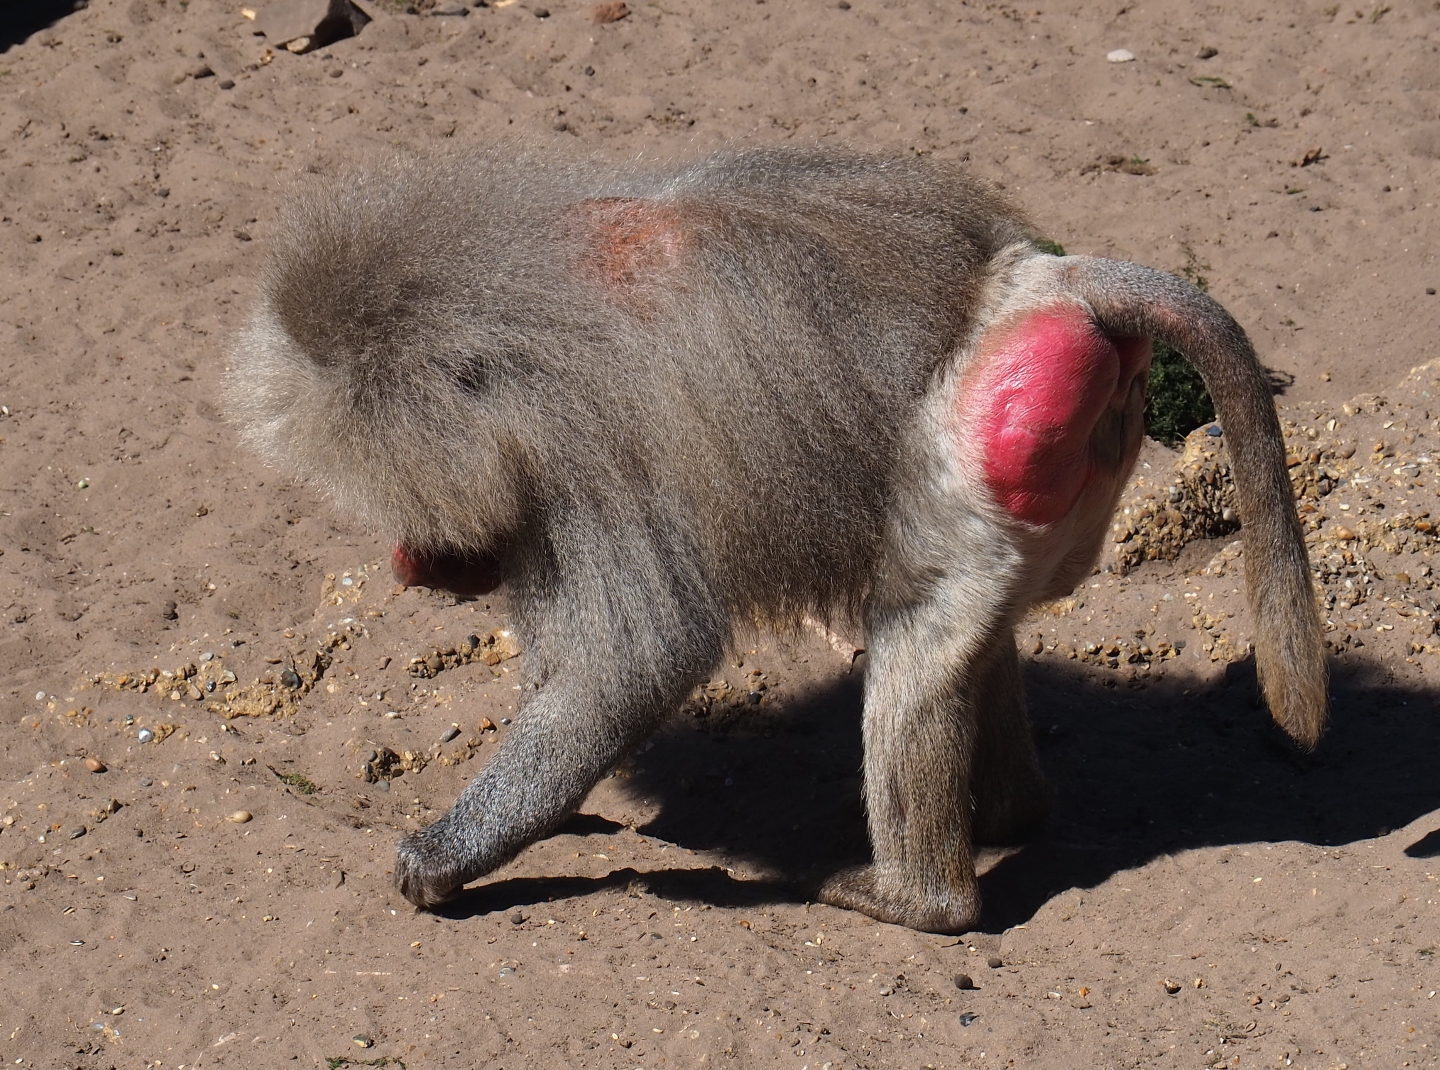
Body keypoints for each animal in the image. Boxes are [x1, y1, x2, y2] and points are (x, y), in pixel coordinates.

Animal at [228, 144, 1327, 934]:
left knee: (917, 647)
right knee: (978, 646)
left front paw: (446, 855)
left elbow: (636, 662)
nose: (406, 566)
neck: (519, 327)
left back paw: (913, 899)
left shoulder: (589, 469)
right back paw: (1008, 818)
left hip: (978, 474)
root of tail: (1045, 284)